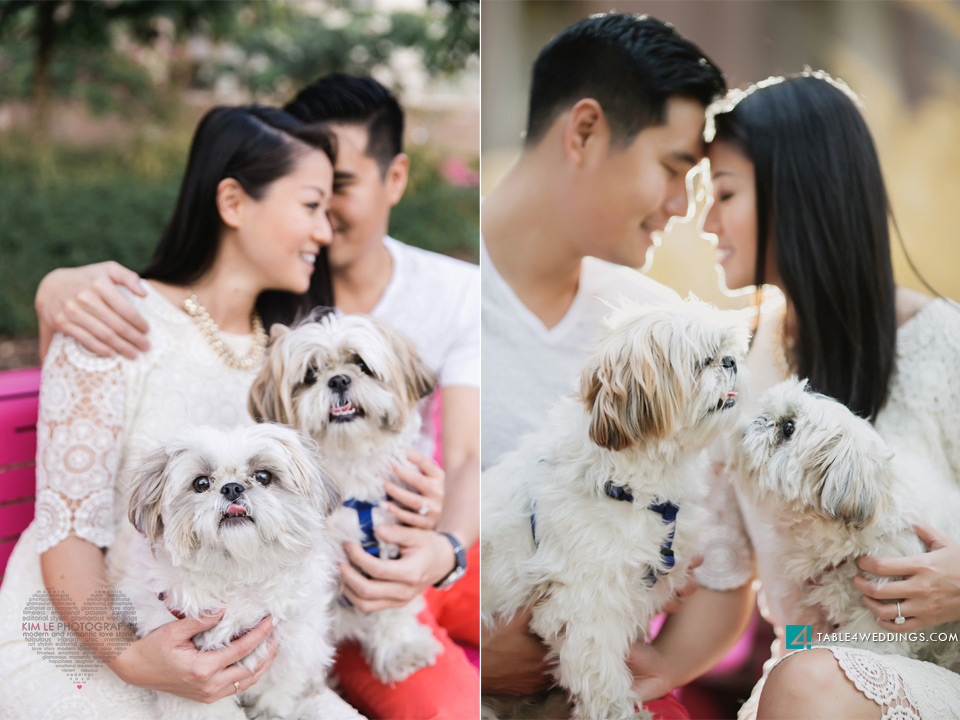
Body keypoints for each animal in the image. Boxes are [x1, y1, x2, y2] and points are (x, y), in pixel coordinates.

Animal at [116, 424, 342, 716]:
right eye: (201, 483)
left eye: (263, 476)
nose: (232, 488)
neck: (239, 573)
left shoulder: (296, 647)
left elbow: (280, 690)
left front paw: (270, 712)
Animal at [246, 312, 444, 684]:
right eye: (310, 375)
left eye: (361, 365)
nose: (338, 380)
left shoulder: (392, 547)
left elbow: (391, 608)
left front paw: (401, 649)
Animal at [484, 300, 748, 720]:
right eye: (702, 360)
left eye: (727, 349)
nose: (730, 360)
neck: (628, 484)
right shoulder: (588, 604)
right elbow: (602, 674)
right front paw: (620, 711)